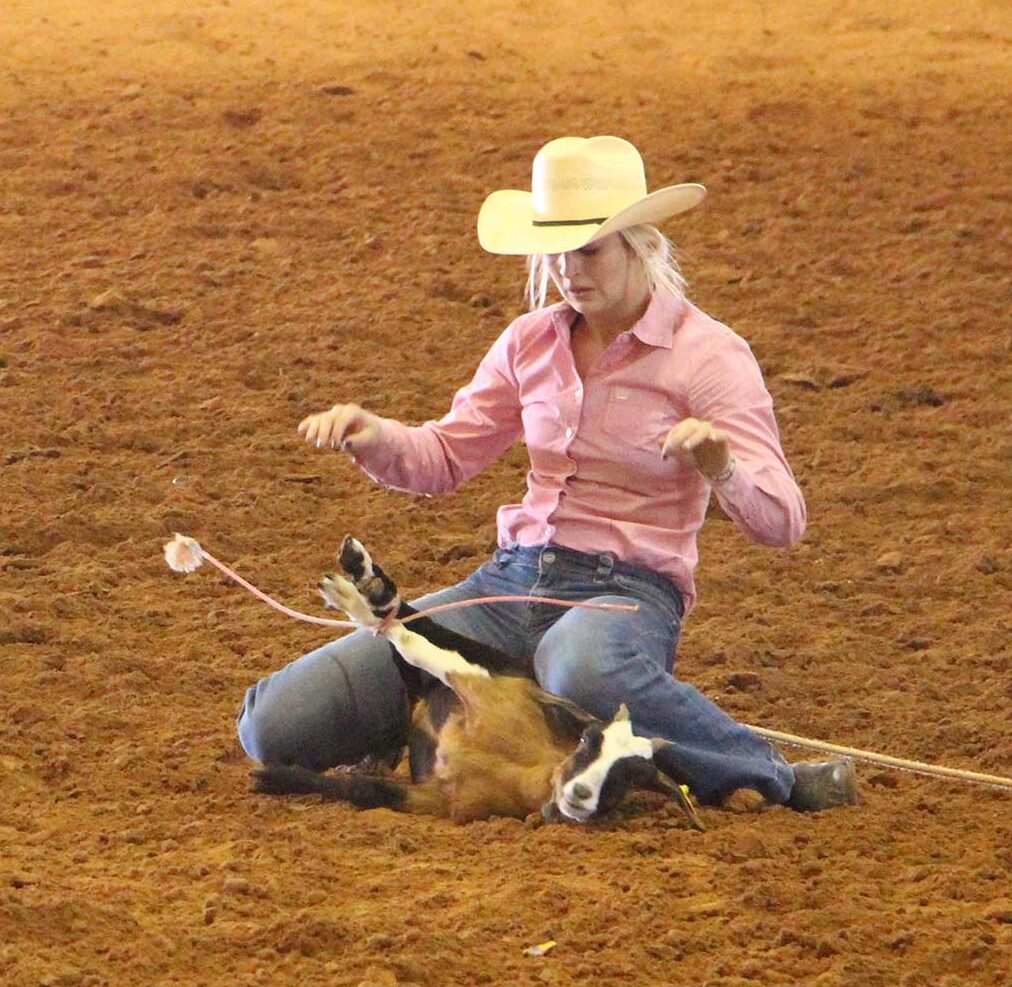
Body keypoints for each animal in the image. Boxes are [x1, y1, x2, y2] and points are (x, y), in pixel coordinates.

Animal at [252, 534, 704, 830]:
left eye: (631, 776)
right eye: (587, 741)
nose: (580, 794)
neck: (524, 769)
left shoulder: (438, 800)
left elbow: (369, 792)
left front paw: (280, 778)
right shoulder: (473, 683)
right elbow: (415, 644)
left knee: (406, 656)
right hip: (485, 662)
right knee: (412, 624)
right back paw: (363, 580)